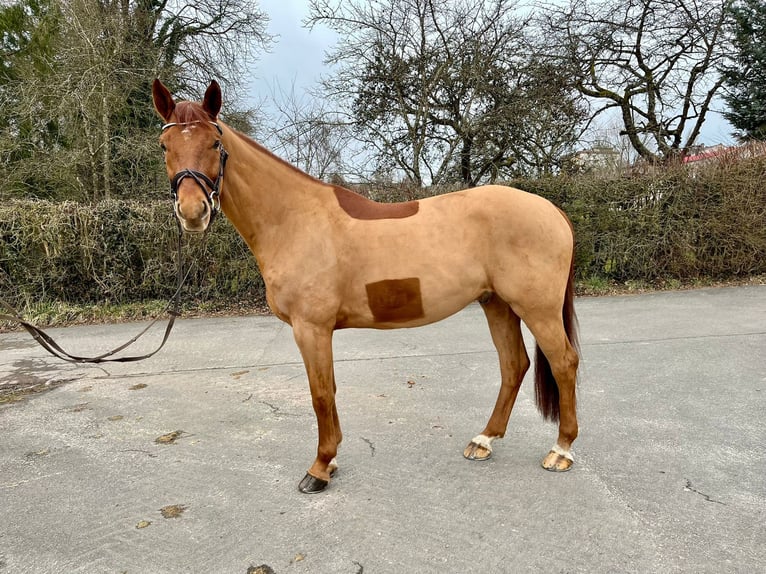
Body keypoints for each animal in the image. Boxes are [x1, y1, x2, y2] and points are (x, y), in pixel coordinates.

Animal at [153, 80, 580, 496]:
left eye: (215, 143)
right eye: (164, 146)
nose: (192, 212)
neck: (294, 219)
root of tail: (551, 210)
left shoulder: (311, 328)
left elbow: (320, 395)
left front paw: (319, 468)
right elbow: (329, 390)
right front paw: (331, 461)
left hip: (537, 309)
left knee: (563, 362)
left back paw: (561, 450)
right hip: (497, 304)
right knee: (514, 365)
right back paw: (484, 440)